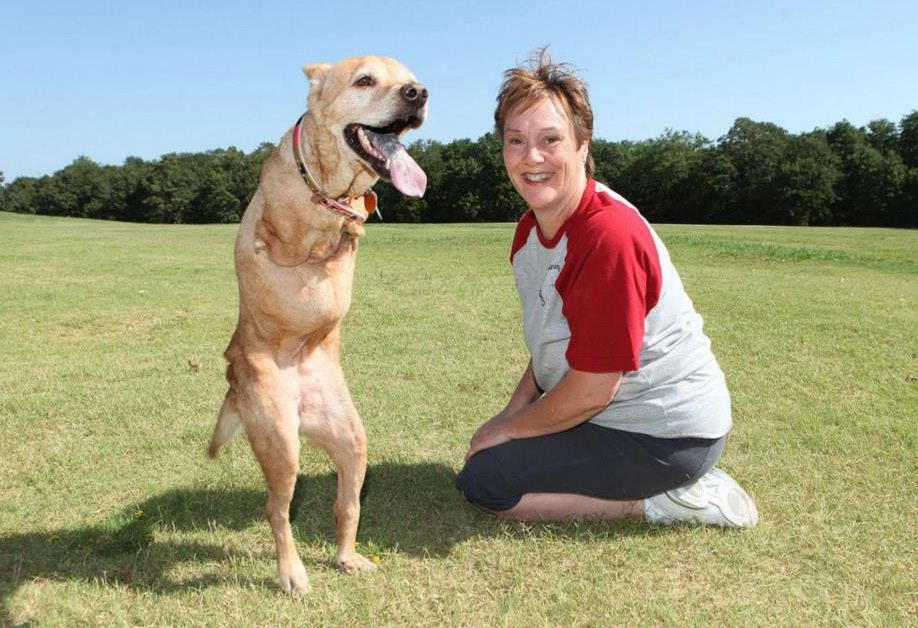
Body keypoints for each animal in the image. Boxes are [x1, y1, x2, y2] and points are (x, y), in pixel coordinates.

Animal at [207, 55, 430, 592]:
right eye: (365, 80)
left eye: (409, 78)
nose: (418, 93)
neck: (329, 184)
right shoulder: (278, 237)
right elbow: (296, 240)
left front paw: (350, 224)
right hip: (281, 444)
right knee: (277, 511)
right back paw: (292, 573)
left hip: (351, 441)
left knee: (345, 507)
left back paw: (348, 557)